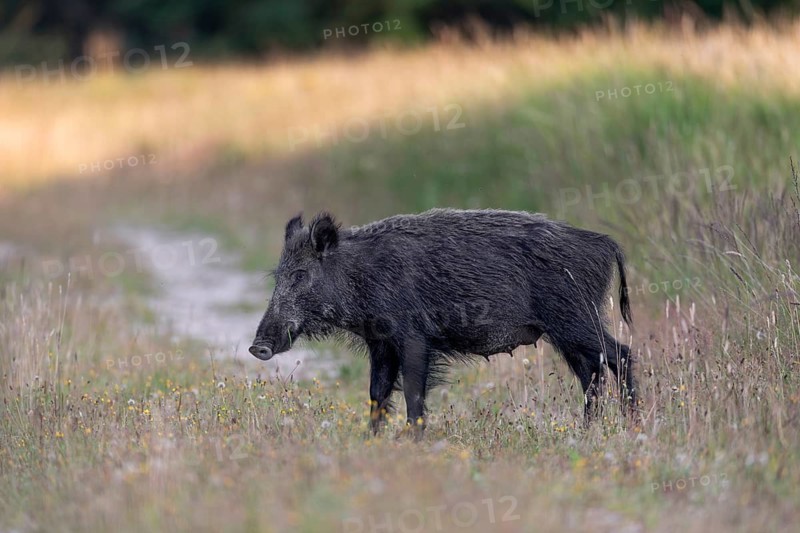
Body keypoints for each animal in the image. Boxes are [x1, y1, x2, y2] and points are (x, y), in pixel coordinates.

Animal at [250, 209, 635, 436]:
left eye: (300, 275)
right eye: (278, 276)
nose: (257, 347)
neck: (360, 276)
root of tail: (605, 244)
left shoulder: (414, 337)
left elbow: (414, 394)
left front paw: (413, 441)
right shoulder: (381, 343)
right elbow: (377, 393)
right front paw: (371, 440)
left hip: (574, 318)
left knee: (621, 355)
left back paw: (632, 421)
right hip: (568, 330)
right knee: (592, 372)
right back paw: (588, 431)